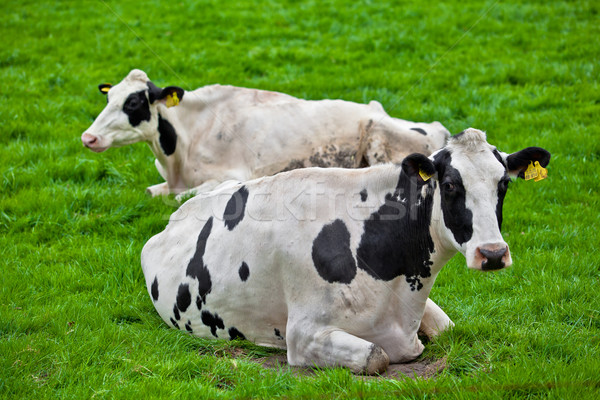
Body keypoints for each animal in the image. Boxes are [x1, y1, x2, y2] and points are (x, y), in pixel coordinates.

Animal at [79, 70, 448, 198]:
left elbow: (183, 197)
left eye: (134, 102)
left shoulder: (232, 176)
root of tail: (438, 127)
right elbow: (150, 192)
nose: (88, 138)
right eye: (108, 98)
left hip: (378, 137)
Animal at [139, 129, 548, 376]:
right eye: (449, 185)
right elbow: (376, 356)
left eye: (504, 184)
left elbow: (447, 328)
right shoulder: (303, 335)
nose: (492, 253)